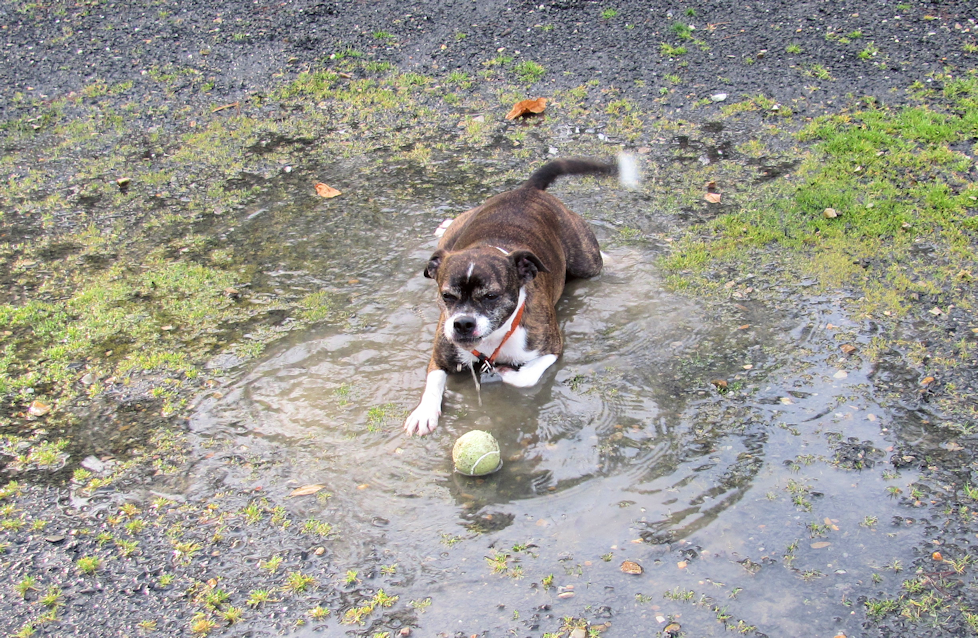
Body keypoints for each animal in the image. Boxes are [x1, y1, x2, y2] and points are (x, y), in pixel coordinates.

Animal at [402, 158, 636, 438]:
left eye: (491, 296)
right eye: (447, 296)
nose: (463, 323)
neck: (493, 339)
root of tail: (528, 190)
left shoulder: (552, 348)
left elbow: (526, 376)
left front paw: (505, 371)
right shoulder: (440, 354)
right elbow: (434, 379)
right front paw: (424, 412)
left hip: (586, 262)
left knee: (596, 259)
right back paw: (445, 224)